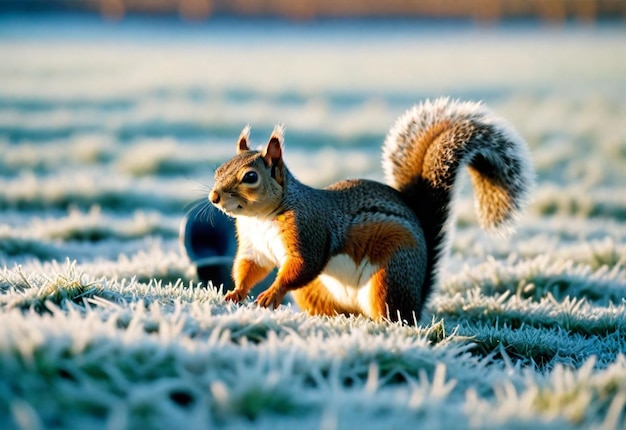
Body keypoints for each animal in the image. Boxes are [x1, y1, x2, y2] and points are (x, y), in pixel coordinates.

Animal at [208, 97, 532, 322]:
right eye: (218, 169)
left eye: (251, 177)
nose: (214, 197)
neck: (261, 219)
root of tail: (417, 300)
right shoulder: (255, 247)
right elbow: (250, 268)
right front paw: (236, 292)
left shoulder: (309, 231)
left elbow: (302, 266)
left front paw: (270, 295)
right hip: (315, 292)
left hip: (389, 276)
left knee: (392, 315)